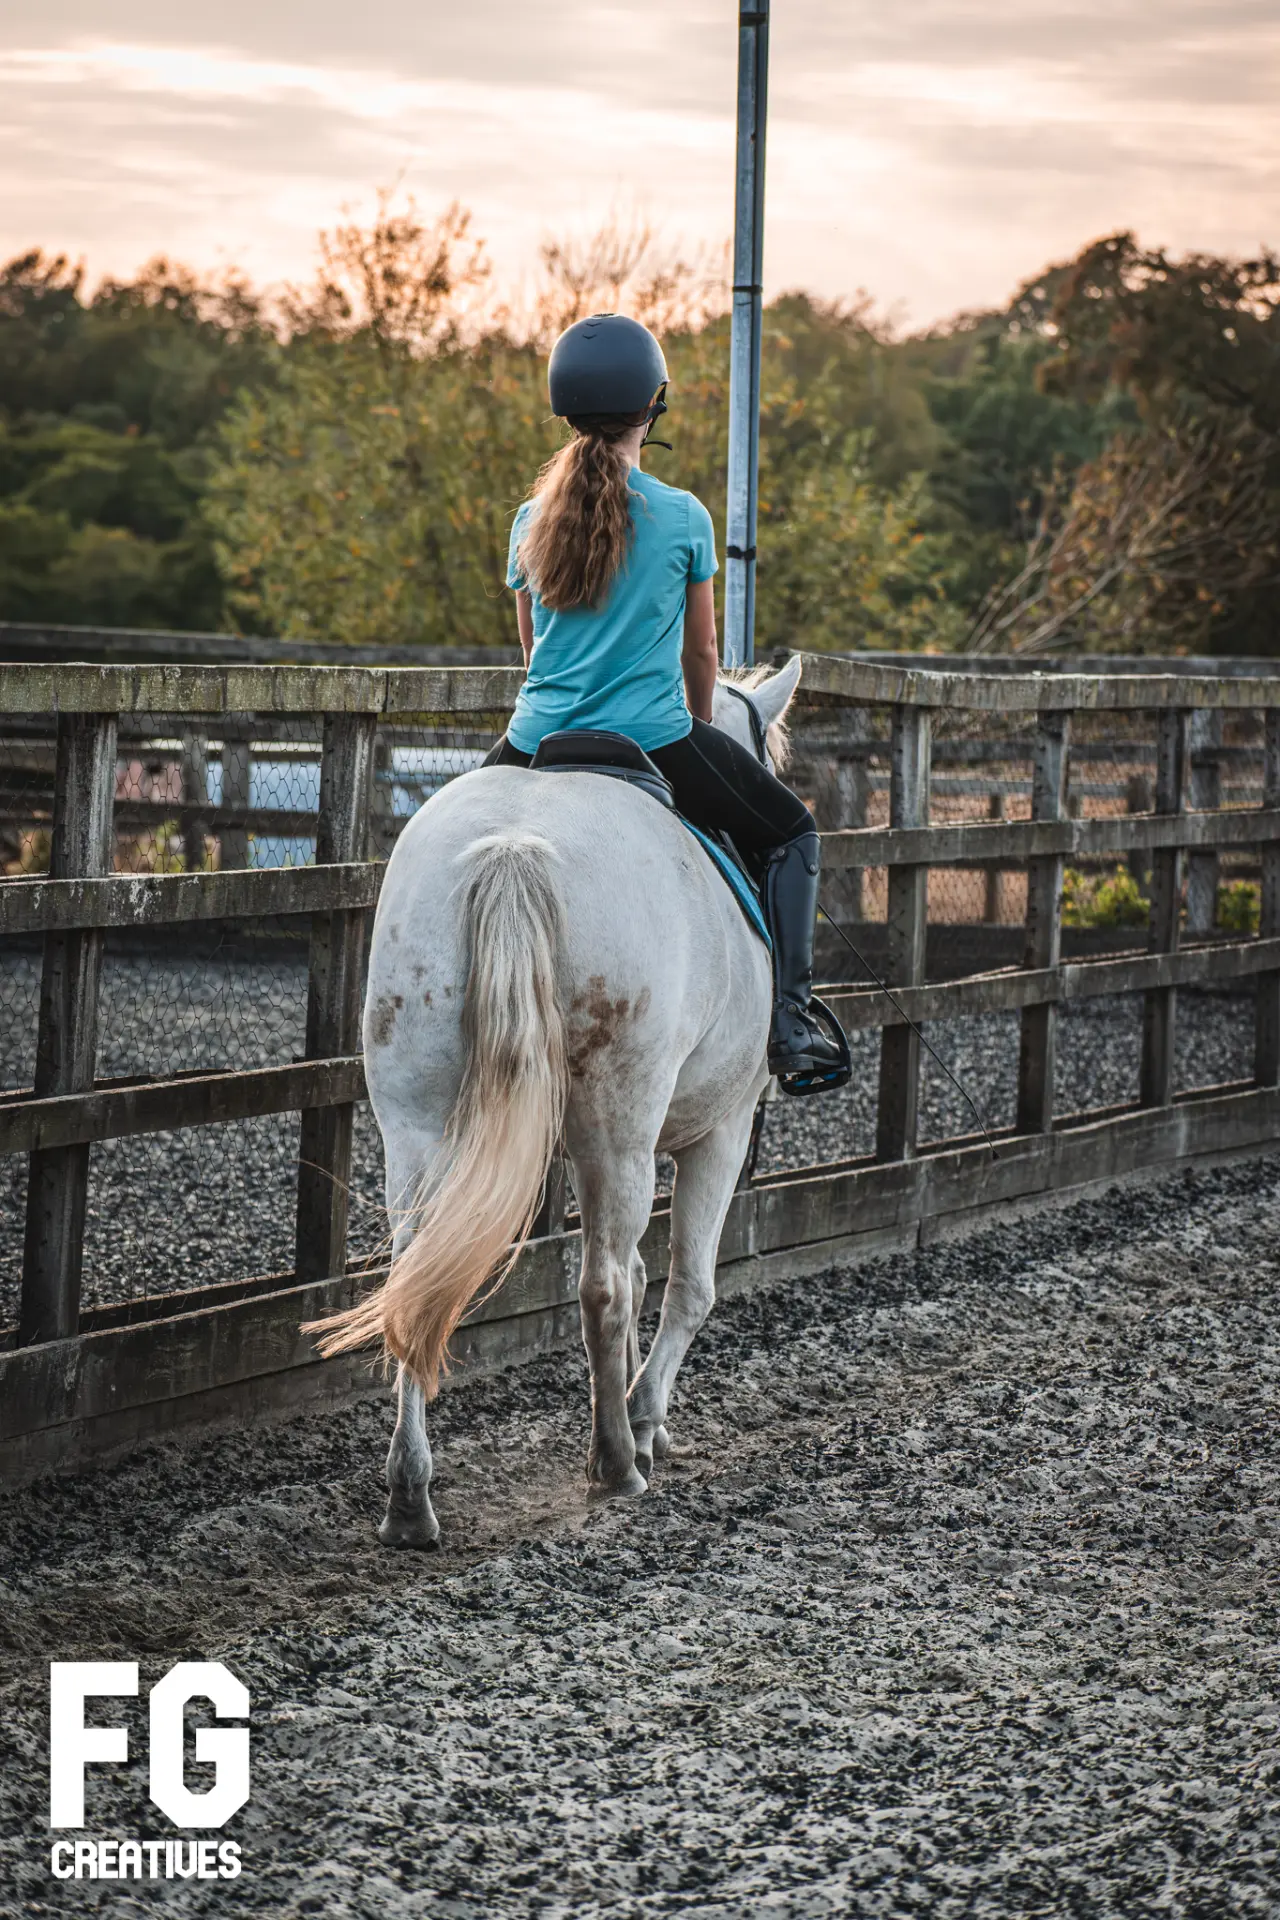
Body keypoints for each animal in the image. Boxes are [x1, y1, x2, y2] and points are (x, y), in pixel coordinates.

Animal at [307, 655, 804, 1548]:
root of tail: (514, 848)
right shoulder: (718, 1129)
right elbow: (686, 1286)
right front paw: (644, 1419)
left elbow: (645, 1275)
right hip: (620, 1128)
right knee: (601, 1286)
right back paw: (615, 1464)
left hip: (420, 1125)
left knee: (413, 1283)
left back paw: (410, 1500)